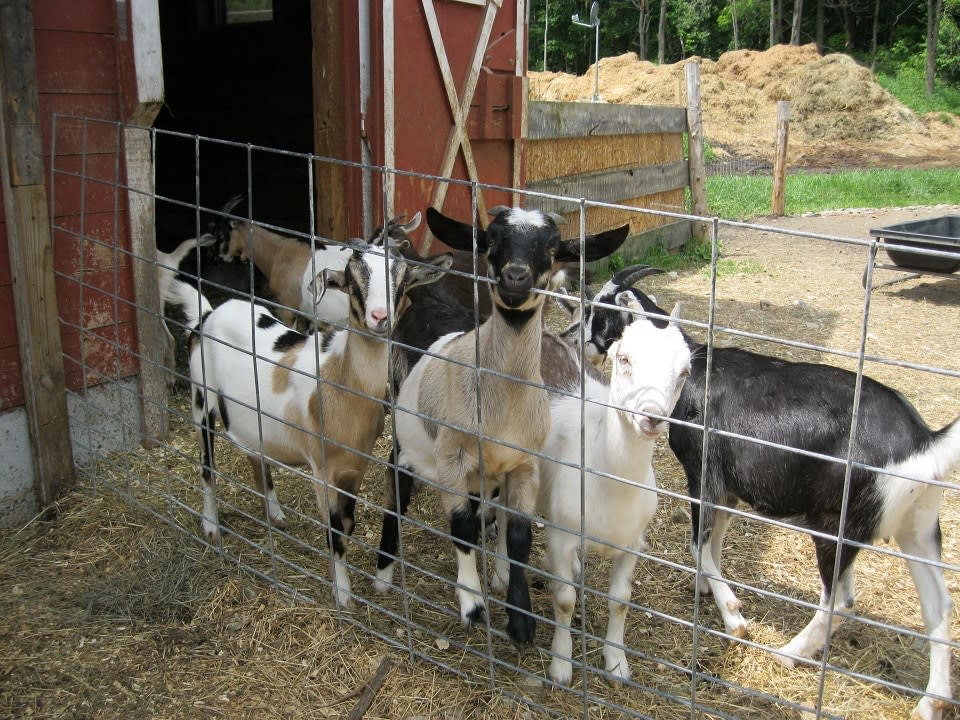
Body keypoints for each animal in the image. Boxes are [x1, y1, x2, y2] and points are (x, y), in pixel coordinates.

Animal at [165, 245, 450, 604]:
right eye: (352, 281)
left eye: (401, 280)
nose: (380, 317)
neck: (337, 380)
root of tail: (207, 315)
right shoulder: (322, 469)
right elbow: (334, 531)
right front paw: (343, 595)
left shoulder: (354, 466)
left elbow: (348, 523)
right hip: (201, 401)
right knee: (206, 467)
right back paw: (212, 528)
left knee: (257, 458)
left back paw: (275, 515)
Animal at [376, 205, 632, 644]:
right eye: (493, 240)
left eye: (552, 248)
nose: (516, 277)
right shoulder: (452, 459)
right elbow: (461, 526)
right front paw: (473, 603)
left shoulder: (524, 464)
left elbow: (518, 535)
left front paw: (521, 619)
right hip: (406, 430)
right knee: (398, 489)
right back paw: (383, 572)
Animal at [564, 264, 960, 720]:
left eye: (602, 310)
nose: (575, 338)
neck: (694, 372)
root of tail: (922, 441)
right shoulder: (729, 489)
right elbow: (716, 538)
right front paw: (709, 589)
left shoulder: (704, 473)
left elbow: (699, 543)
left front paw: (734, 616)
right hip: (920, 525)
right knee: (938, 607)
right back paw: (932, 700)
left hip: (838, 523)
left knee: (840, 600)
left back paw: (789, 652)